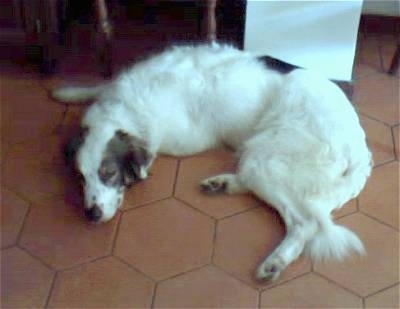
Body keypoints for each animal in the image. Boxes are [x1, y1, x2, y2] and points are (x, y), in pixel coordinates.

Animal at [52, 43, 372, 282]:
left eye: (109, 173)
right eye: (80, 177)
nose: (90, 214)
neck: (128, 107)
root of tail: (359, 150)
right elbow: (98, 86)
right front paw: (68, 92)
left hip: (265, 157)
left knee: (304, 223)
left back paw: (275, 261)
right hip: (260, 161)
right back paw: (222, 183)